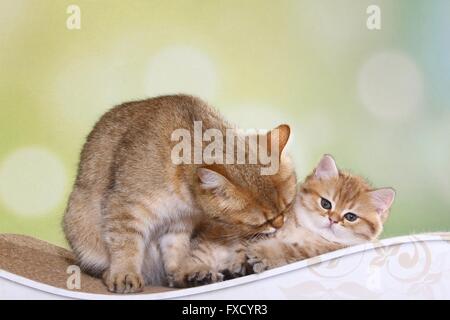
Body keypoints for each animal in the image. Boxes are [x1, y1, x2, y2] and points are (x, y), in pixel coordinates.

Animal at [61, 94, 298, 292]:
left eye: (287, 206)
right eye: (261, 222)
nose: (280, 224)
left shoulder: (178, 223)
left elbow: (177, 253)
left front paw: (185, 272)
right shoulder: (126, 208)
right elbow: (126, 244)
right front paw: (125, 273)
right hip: (79, 224)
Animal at [244, 155, 396, 272]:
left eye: (351, 217)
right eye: (325, 204)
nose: (332, 220)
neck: (308, 232)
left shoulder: (315, 252)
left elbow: (290, 250)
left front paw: (263, 253)